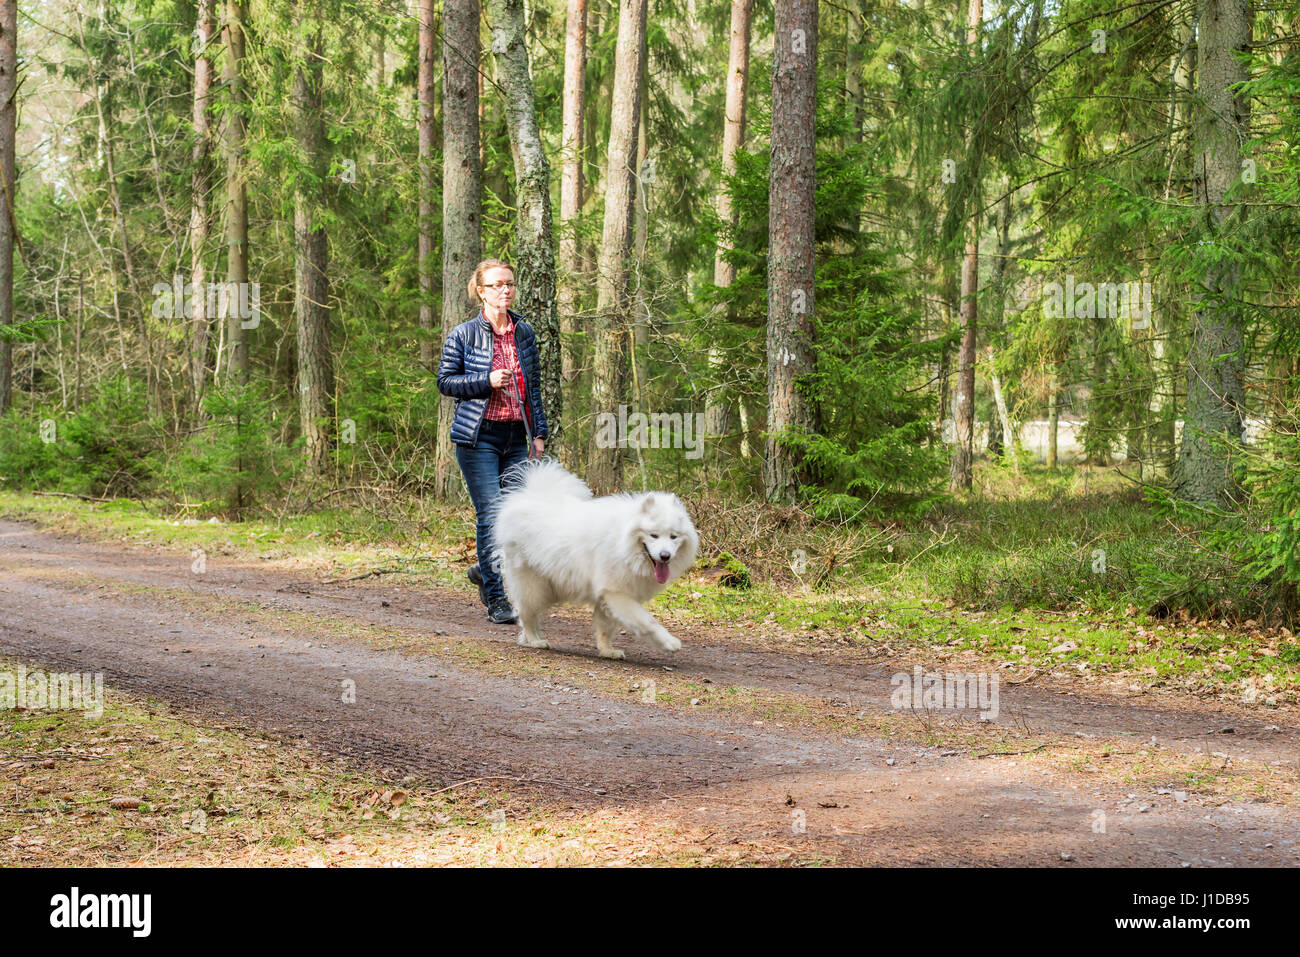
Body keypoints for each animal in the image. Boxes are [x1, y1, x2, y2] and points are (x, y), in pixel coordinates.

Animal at [491, 462, 702, 657]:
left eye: (673, 537)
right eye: (654, 535)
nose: (665, 556)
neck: (622, 543)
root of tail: (530, 497)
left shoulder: (607, 596)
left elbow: (605, 628)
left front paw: (607, 651)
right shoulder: (616, 593)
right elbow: (647, 620)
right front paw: (669, 642)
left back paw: (530, 639)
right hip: (533, 585)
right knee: (526, 615)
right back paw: (534, 640)